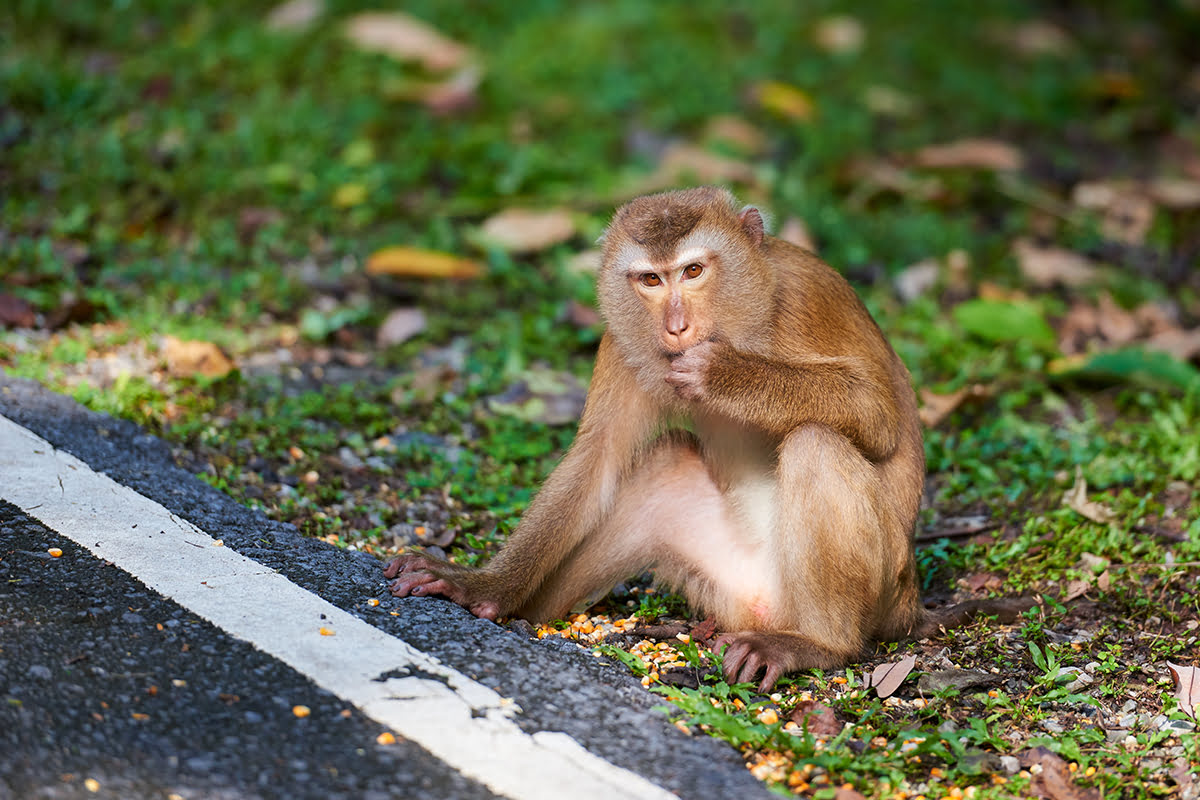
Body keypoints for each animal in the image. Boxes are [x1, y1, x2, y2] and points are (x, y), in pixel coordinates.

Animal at [388, 184, 1008, 690]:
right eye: (651, 279)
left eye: (692, 272)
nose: (676, 327)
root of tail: (912, 603)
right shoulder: (624, 343)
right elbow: (597, 460)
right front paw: (486, 585)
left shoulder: (807, 299)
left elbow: (876, 415)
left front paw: (725, 374)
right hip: (728, 585)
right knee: (660, 462)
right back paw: (521, 608)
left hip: (882, 589)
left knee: (817, 444)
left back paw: (819, 645)